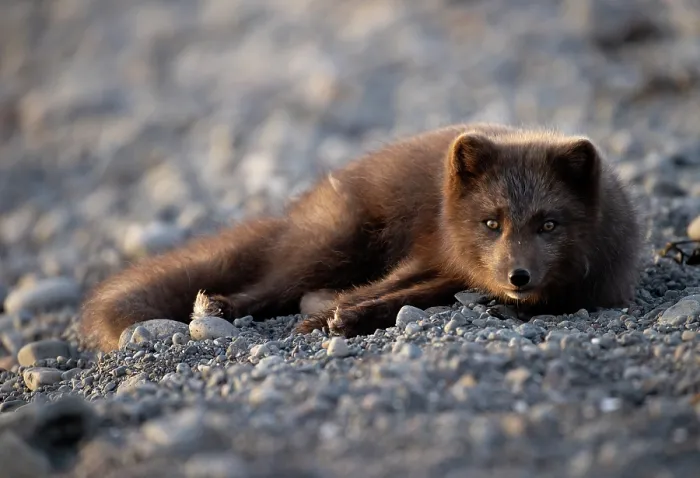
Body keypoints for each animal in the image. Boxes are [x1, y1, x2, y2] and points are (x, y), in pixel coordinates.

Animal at [79, 123, 642, 351]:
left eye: (549, 224)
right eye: (491, 223)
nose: (517, 276)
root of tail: (298, 205)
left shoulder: (451, 273)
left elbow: (401, 297)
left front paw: (343, 319)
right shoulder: (436, 251)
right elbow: (383, 288)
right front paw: (327, 318)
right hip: (336, 244)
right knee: (271, 285)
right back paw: (218, 307)